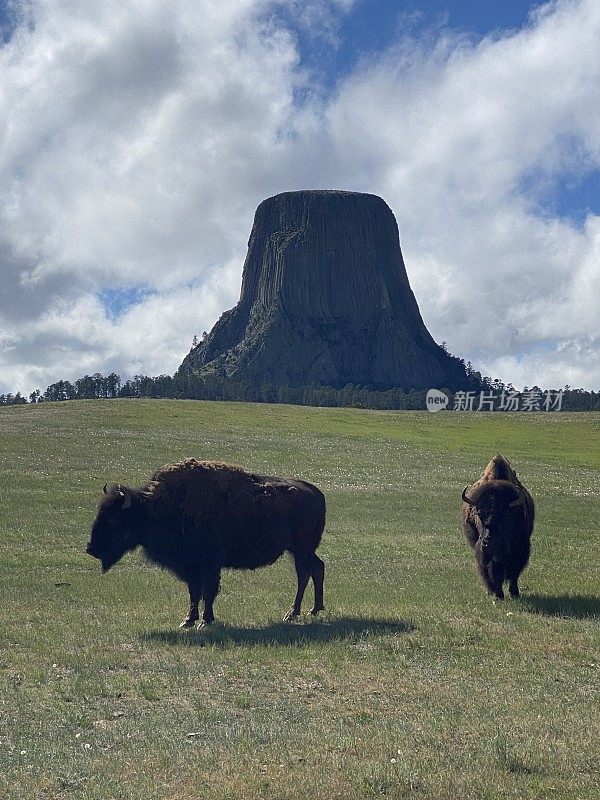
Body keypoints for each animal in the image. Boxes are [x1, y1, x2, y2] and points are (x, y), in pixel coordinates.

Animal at [86, 460, 326, 628]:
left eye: (114, 520)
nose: (90, 548)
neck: (157, 508)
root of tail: (317, 493)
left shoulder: (209, 565)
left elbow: (208, 591)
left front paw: (205, 620)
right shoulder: (191, 567)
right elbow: (194, 592)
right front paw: (188, 620)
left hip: (301, 550)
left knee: (306, 573)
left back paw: (296, 613)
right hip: (300, 551)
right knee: (314, 569)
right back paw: (310, 610)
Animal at [460, 456, 536, 600]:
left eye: (505, 516)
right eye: (479, 513)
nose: (489, 543)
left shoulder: (520, 548)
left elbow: (513, 571)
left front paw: (513, 592)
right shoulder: (483, 553)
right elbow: (491, 570)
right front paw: (496, 593)